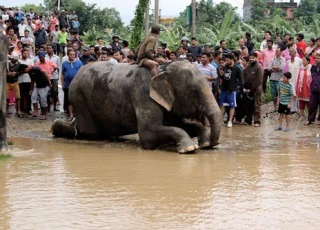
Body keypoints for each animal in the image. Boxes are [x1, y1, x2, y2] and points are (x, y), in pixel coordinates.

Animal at [52, 60, 221, 153]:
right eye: (193, 92)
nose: (213, 145)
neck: (163, 68)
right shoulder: (142, 94)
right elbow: (148, 133)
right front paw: (190, 149)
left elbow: (182, 124)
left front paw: (204, 143)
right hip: (79, 99)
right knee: (88, 132)